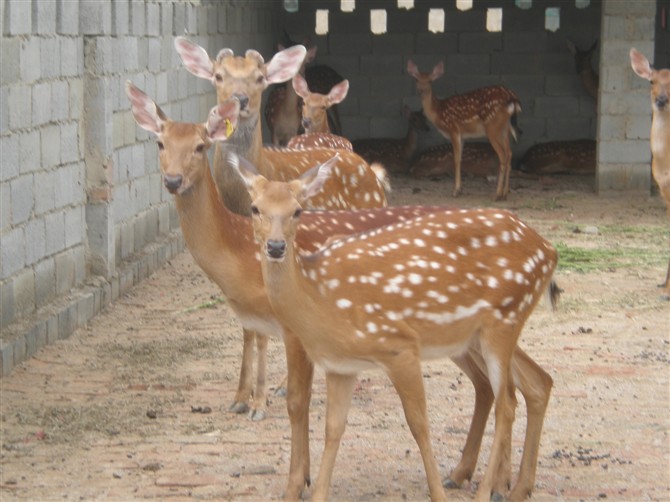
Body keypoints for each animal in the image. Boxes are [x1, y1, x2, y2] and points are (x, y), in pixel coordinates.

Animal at [234, 153, 560, 502]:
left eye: (298, 210)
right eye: (255, 208)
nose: (276, 246)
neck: (320, 296)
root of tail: (550, 250)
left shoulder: (399, 345)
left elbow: (419, 424)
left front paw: (438, 495)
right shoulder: (340, 366)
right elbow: (334, 428)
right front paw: (317, 493)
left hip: (504, 319)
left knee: (507, 404)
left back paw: (487, 490)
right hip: (485, 333)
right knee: (533, 385)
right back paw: (517, 487)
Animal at [406, 58, 524, 200]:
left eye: (430, 80)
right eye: (416, 79)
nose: (420, 90)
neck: (439, 113)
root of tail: (512, 98)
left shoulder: (453, 129)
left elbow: (456, 159)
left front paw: (455, 191)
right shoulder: (462, 136)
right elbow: (461, 159)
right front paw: (460, 189)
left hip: (492, 126)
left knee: (502, 155)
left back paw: (497, 194)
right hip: (505, 129)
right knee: (509, 153)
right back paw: (505, 193)